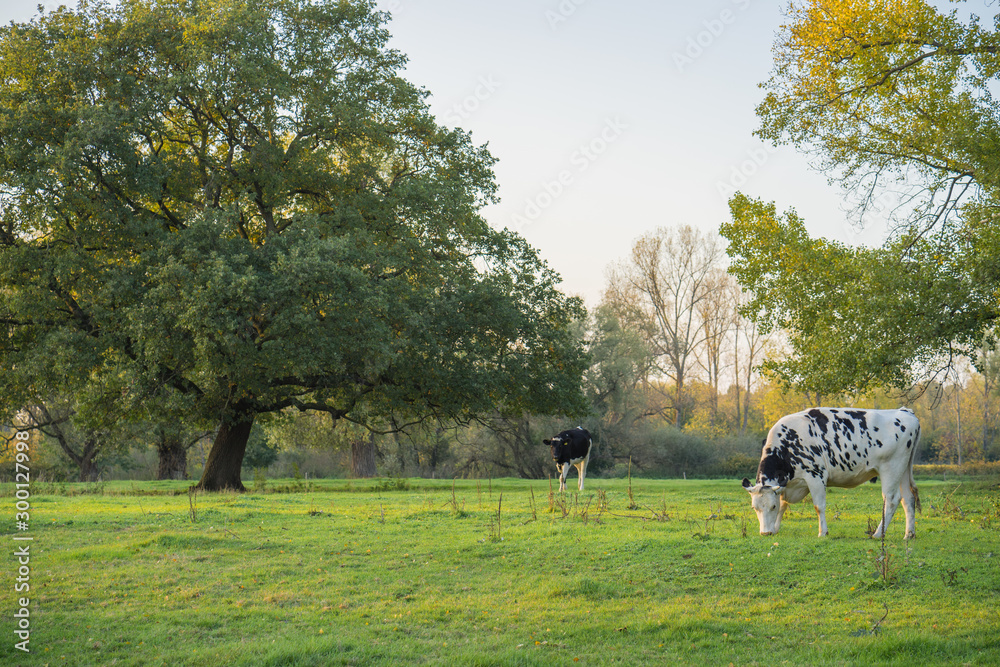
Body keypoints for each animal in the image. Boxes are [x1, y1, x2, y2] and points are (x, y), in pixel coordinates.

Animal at [741, 407, 921, 539]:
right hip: (903, 470)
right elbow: (784, 505)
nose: (765, 533)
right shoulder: (786, 484)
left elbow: (818, 506)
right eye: (754, 507)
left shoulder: (815, 475)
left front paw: (823, 532)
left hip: (891, 468)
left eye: (771, 506)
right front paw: (776, 528)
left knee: (891, 500)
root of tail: (904, 411)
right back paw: (909, 534)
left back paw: (878, 533)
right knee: (908, 499)